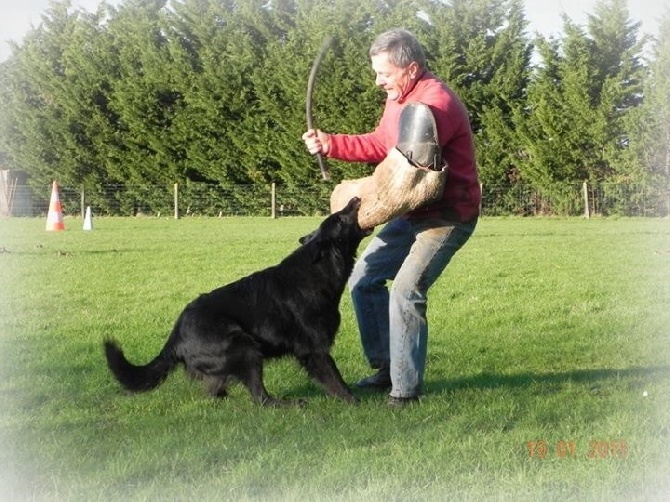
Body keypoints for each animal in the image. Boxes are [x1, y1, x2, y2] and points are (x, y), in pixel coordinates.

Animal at [103, 198, 372, 406]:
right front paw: (354, 402)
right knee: (261, 399)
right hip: (245, 346)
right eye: (339, 219)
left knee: (216, 391)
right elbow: (334, 380)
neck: (318, 270)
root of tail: (176, 336)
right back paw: (288, 403)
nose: (355, 198)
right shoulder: (315, 350)